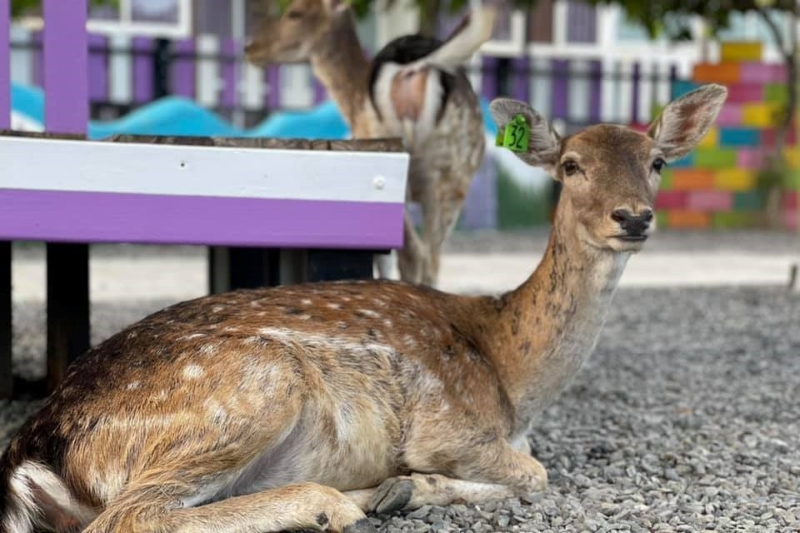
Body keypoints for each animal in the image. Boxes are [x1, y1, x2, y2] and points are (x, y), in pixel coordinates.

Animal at [0, 84, 724, 532]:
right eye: (571, 165)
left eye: (658, 161)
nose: (633, 217)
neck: (514, 377)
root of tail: (34, 448)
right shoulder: (448, 426)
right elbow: (538, 473)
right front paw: (408, 486)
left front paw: (402, 489)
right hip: (250, 388)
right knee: (127, 515)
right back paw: (330, 504)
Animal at [244, 0, 496, 288]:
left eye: (295, 12)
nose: (251, 49)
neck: (350, 101)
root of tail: (413, 67)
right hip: (454, 174)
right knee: (432, 257)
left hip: (395, 157)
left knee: (413, 254)